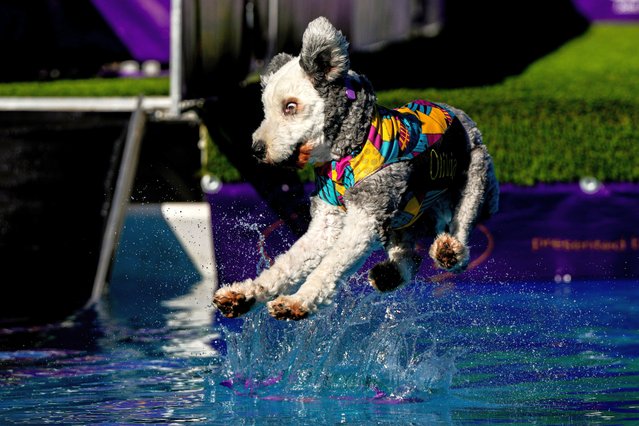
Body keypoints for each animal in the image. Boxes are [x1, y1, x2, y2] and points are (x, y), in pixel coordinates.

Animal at [215, 16, 500, 322]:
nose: (256, 149)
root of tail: (465, 118)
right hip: (404, 219)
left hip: (474, 180)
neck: (348, 153)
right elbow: (288, 262)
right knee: (410, 255)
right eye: (265, 109)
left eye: (290, 106)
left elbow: (331, 264)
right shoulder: (328, 220)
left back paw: (450, 250)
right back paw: (389, 274)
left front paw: (297, 301)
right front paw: (244, 295)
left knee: (461, 229)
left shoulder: (365, 214)